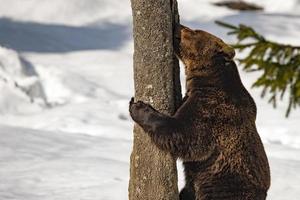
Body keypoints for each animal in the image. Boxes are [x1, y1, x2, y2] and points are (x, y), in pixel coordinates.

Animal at [129, 24, 270, 200]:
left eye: (195, 31)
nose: (178, 25)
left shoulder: (211, 111)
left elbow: (184, 134)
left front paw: (137, 106)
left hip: (223, 188)